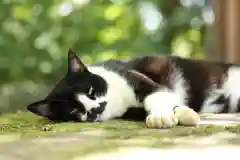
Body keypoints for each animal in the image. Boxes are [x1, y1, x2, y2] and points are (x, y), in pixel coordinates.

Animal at [26, 48, 240, 129]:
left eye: (91, 91)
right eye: (73, 111)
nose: (94, 108)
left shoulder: (145, 82)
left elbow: (157, 96)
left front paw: (162, 117)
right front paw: (181, 114)